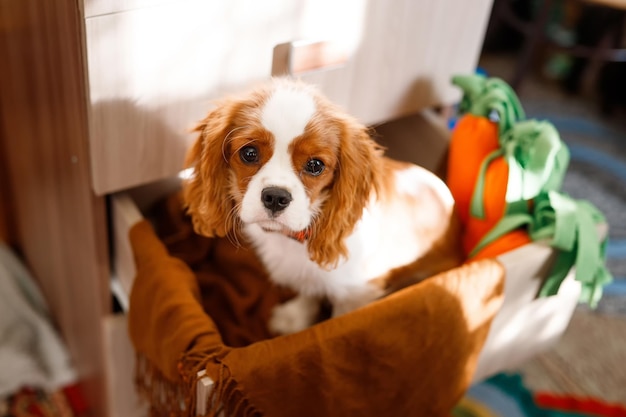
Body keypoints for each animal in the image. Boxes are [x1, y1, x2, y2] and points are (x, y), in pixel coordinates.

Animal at [183, 78, 460, 334]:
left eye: (315, 165)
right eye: (249, 153)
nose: (275, 197)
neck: (293, 239)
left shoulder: (356, 294)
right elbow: (310, 290)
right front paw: (296, 319)